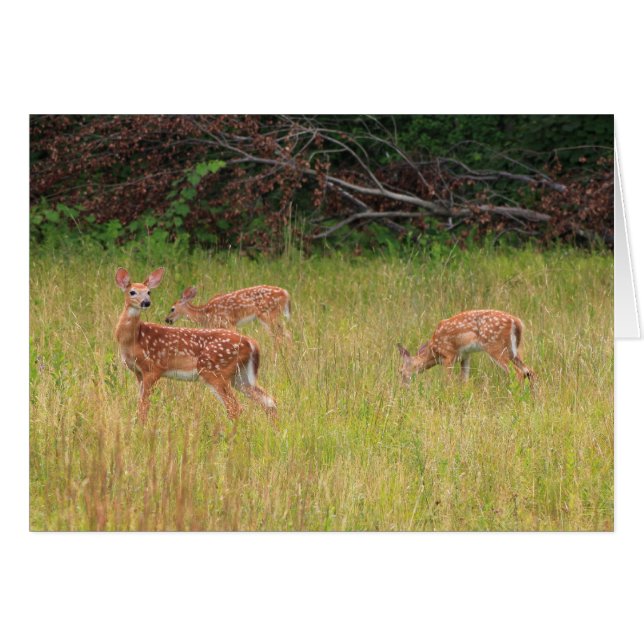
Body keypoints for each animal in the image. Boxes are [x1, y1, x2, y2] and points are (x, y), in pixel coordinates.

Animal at [114, 267, 277, 424]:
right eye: (132, 292)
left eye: (149, 292)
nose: (146, 302)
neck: (133, 339)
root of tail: (251, 343)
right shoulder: (138, 372)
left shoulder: (152, 368)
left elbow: (143, 406)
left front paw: (141, 426)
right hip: (240, 376)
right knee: (269, 401)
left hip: (215, 371)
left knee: (235, 407)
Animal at [397, 309, 535, 388]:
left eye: (400, 371)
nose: (402, 387)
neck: (434, 351)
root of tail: (516, 322)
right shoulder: (465, 356)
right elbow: (464, 380)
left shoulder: (448, 355)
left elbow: (448, 380)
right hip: (514, 350)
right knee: (529, 371)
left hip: (495, 347)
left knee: (517, 372)